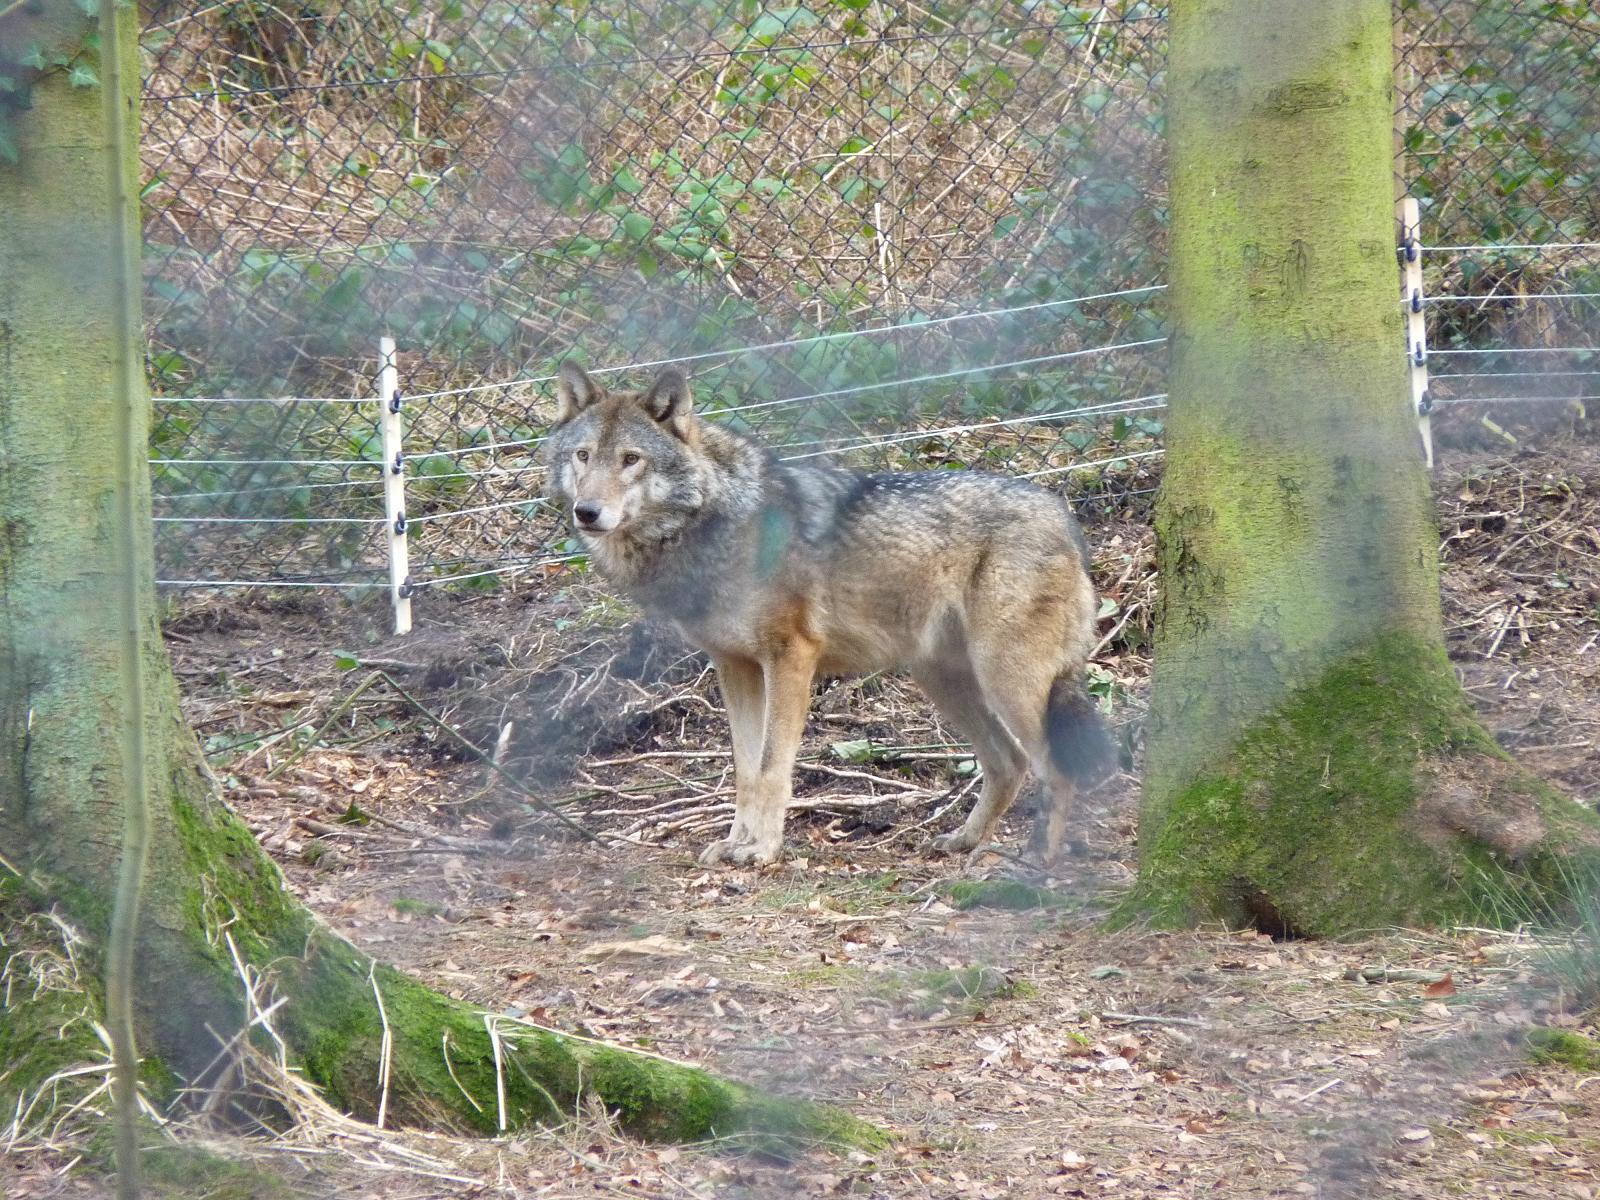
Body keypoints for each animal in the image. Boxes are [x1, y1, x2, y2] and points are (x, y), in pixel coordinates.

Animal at [545, 360, 1114, 866]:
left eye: (631, 459)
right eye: (583, 456)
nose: (586, 512)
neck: (715, 522)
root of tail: (1064, 516)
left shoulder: (790, 657)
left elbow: (772, 767)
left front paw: (762, 852)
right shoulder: (735, 667)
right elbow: (745, 771)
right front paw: (736, 844)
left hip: (1005, 681)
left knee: (1053, 767)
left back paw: (1036, 861)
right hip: (944, 681)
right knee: (1007, 764)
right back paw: (963, 843)